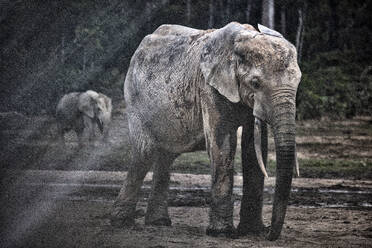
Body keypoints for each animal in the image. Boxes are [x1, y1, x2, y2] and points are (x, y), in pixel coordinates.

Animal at [112, 22, 302, 241]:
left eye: (298, 82)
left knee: (165, 157)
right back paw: (121, 222)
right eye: (255, 83)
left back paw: (159, 222)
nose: (270, 235)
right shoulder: (209, 88)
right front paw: (222, 233)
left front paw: (252, 231)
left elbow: (254, 150)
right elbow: (223, 145)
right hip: (135, 101)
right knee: (144, 154)